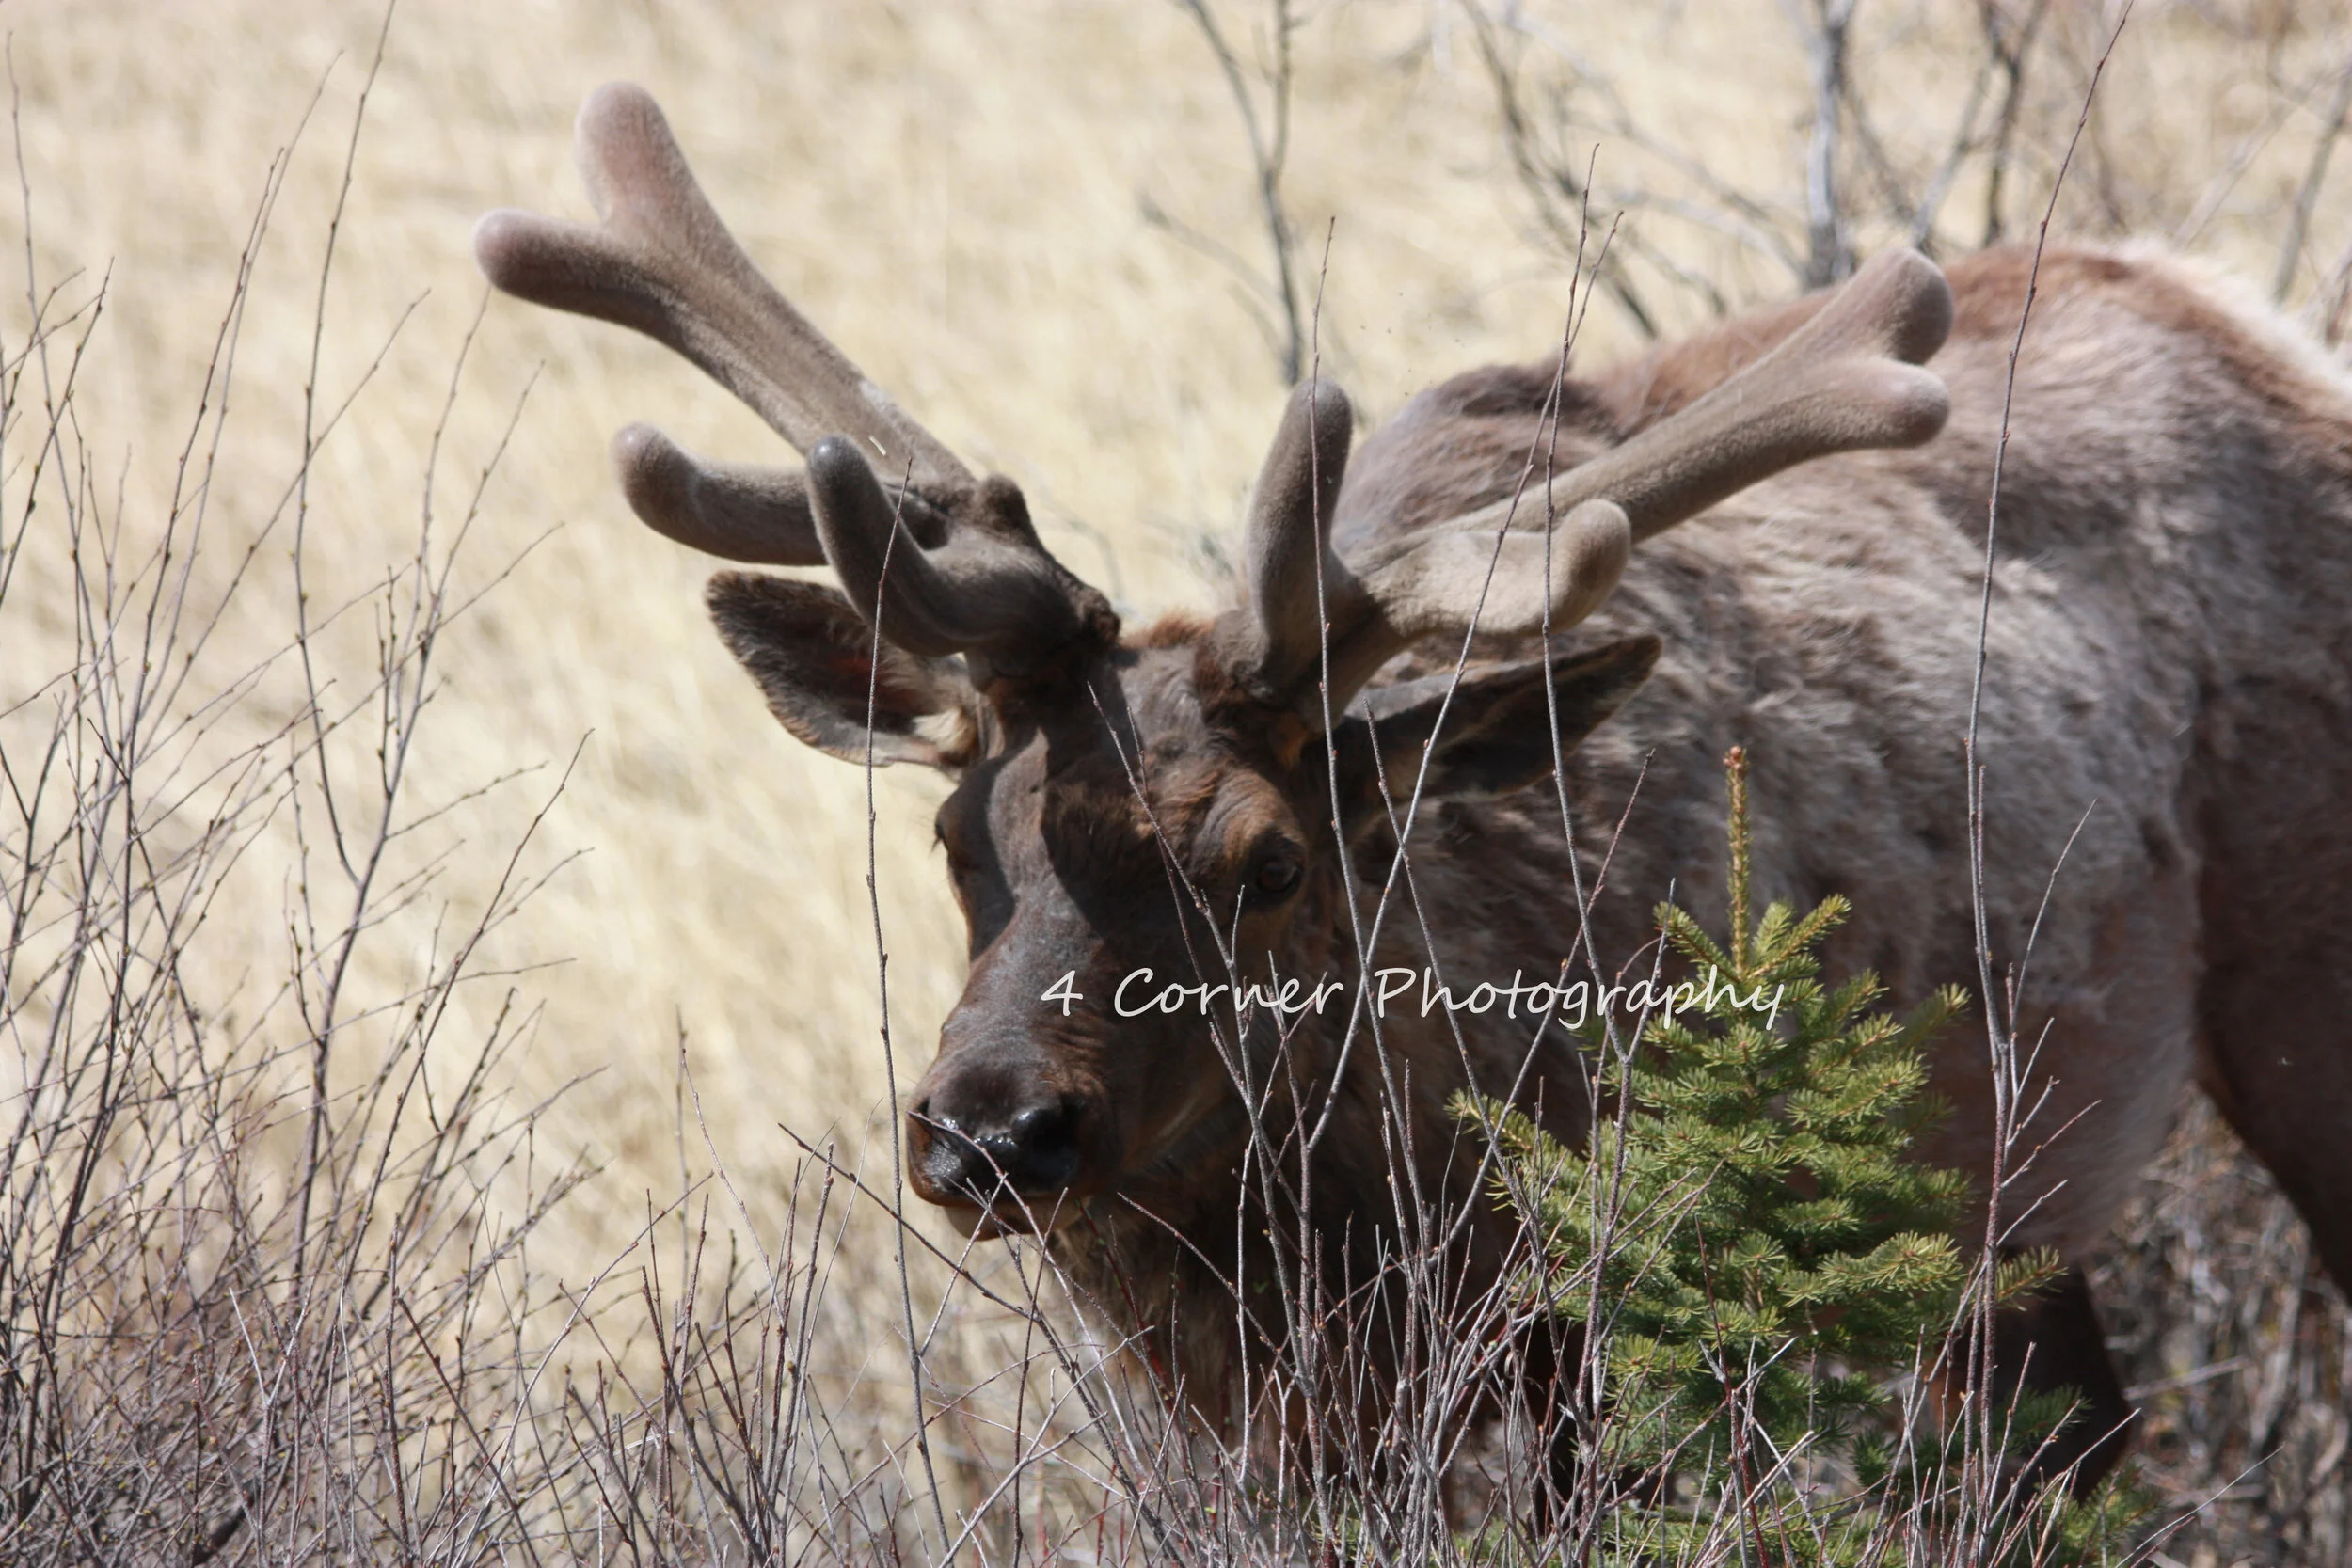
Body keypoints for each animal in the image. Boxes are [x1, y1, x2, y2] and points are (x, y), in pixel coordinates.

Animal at [475, 83, 2352, 1507]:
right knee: (2073, 1443)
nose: (992, 1128)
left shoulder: (1621, 1325)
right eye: (956, 842)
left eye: (1270, 861)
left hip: (2289, 988)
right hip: (2008, 1213)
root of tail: (2254, 317)